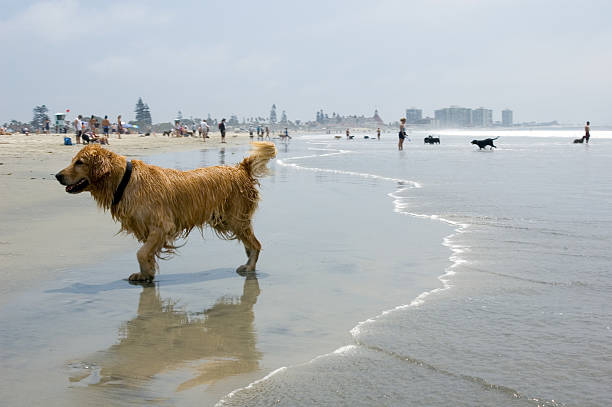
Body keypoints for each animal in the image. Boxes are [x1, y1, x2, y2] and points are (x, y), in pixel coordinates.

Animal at [56, 142, 276, 282]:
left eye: (80, 162)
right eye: (73, 160)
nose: (57, 175)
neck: (124, 180)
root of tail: (241, 168)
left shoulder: (162, 226)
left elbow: (141, 252)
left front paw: (145, 273)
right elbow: (146, 253)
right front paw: (146, 274)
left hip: (234, 218)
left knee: (256, 244)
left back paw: (249, 267)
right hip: (224, 220)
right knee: (250, 243)